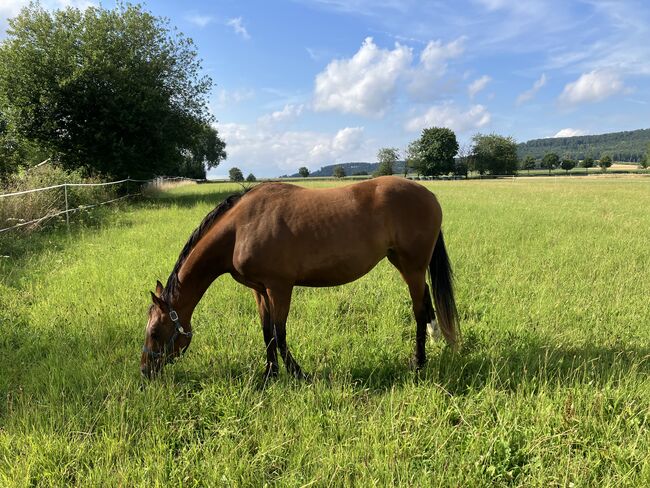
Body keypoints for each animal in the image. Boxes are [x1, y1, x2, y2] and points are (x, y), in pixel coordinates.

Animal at [139, 176, 458, 382]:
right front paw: (269, 376)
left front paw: (298, 374)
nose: (144, 370)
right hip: (406, 264)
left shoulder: (279, 287)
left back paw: (418, 363)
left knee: (418, 311)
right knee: (425, 300)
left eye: (155, 332)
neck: (241, 228)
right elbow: (266, 332)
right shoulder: (260, 290)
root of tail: (428, 194)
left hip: (412, 266)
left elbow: (279, 334)